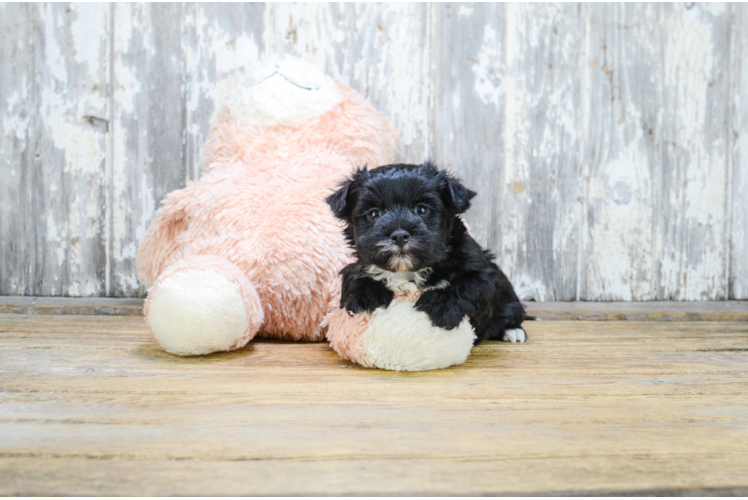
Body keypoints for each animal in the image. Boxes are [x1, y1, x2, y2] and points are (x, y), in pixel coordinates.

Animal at [328, 163, 532, 344]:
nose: (399, 235)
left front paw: (440, 306)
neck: (407, 271)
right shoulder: (358, 265)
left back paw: (513, 331)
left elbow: (468, 285)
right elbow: (356, 276)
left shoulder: (483, 272)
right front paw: (365, 297)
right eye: (373, 214)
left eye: (422, 209)